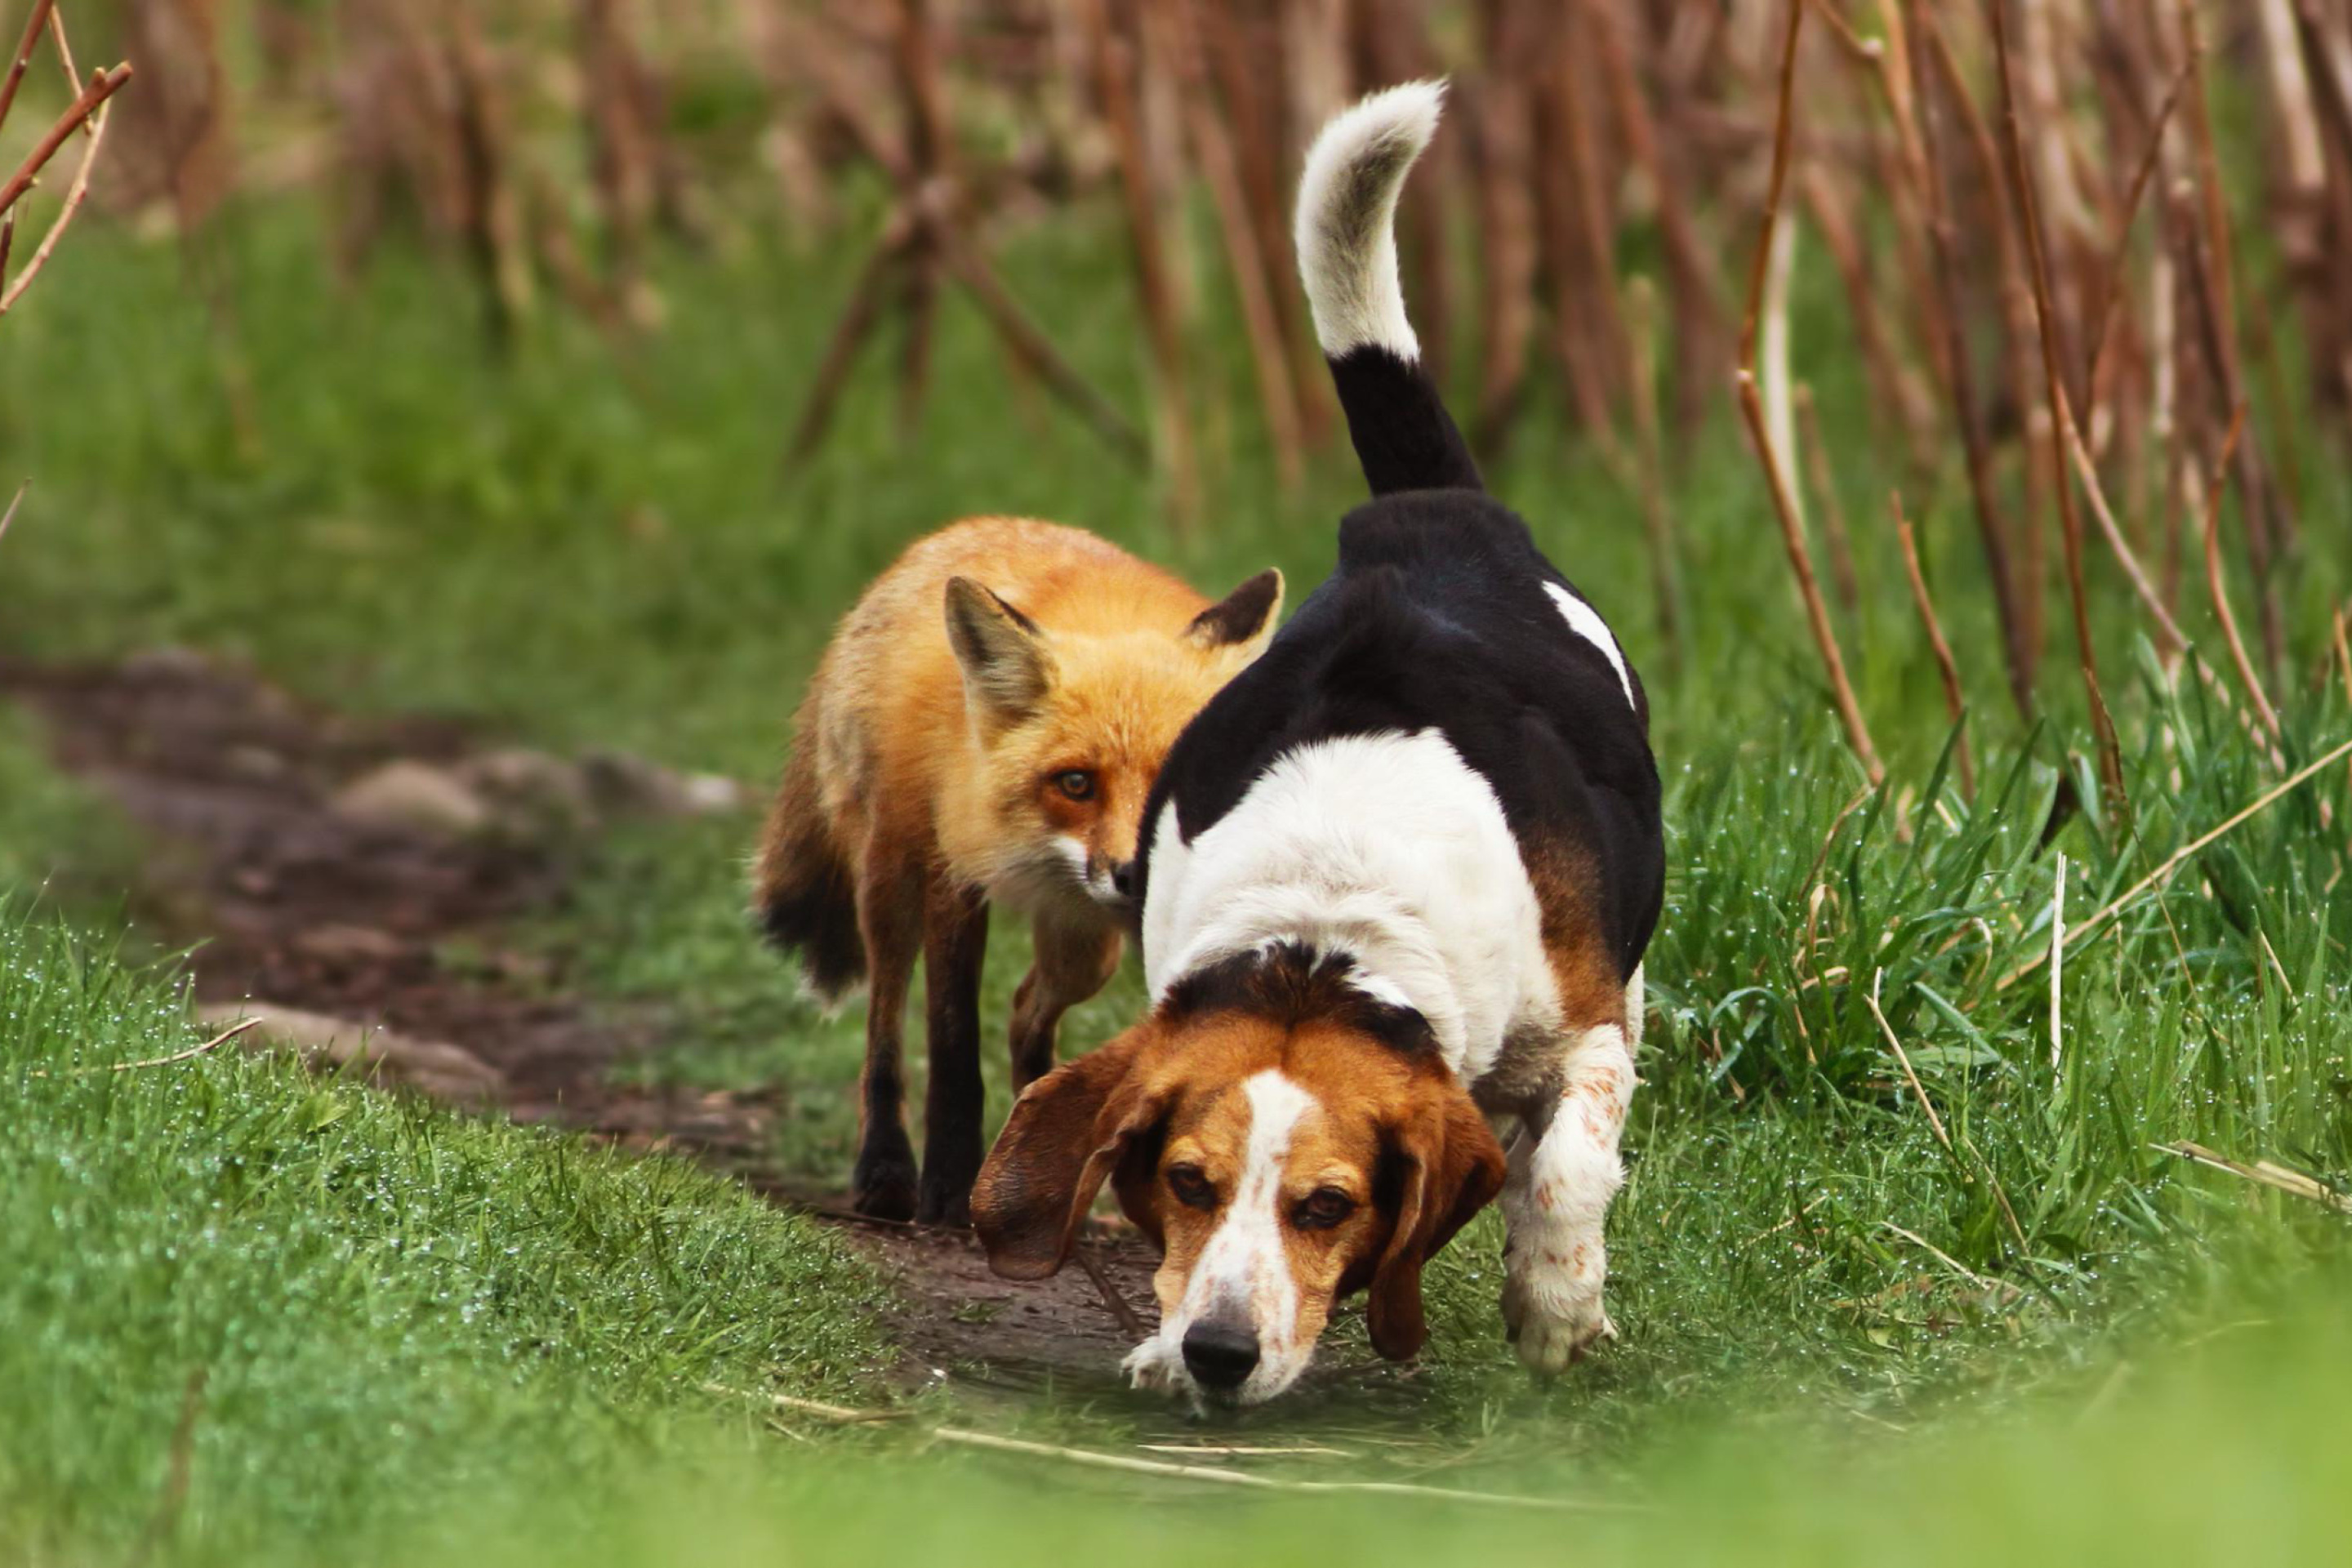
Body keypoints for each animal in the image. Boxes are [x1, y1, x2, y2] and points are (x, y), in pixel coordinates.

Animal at [752, 517, 1279, 1222]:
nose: (1134, 876)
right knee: (886, 1025)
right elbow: (952, 1046)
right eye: (1076, 784)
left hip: (1087, 949)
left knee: (1029, 1011)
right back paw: (887, 1171)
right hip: (890, 883)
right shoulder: (953, 877)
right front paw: (948, 1189)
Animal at [964, 82, 1665, 1410]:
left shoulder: (1583, 1028)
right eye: (1185, 1182)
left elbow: (1566, 1166)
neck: (1325, 933)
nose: (1219, 1354)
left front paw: (1555, 1302)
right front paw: (1158, 1339)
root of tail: (1425, 517)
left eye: (1328, 1206)